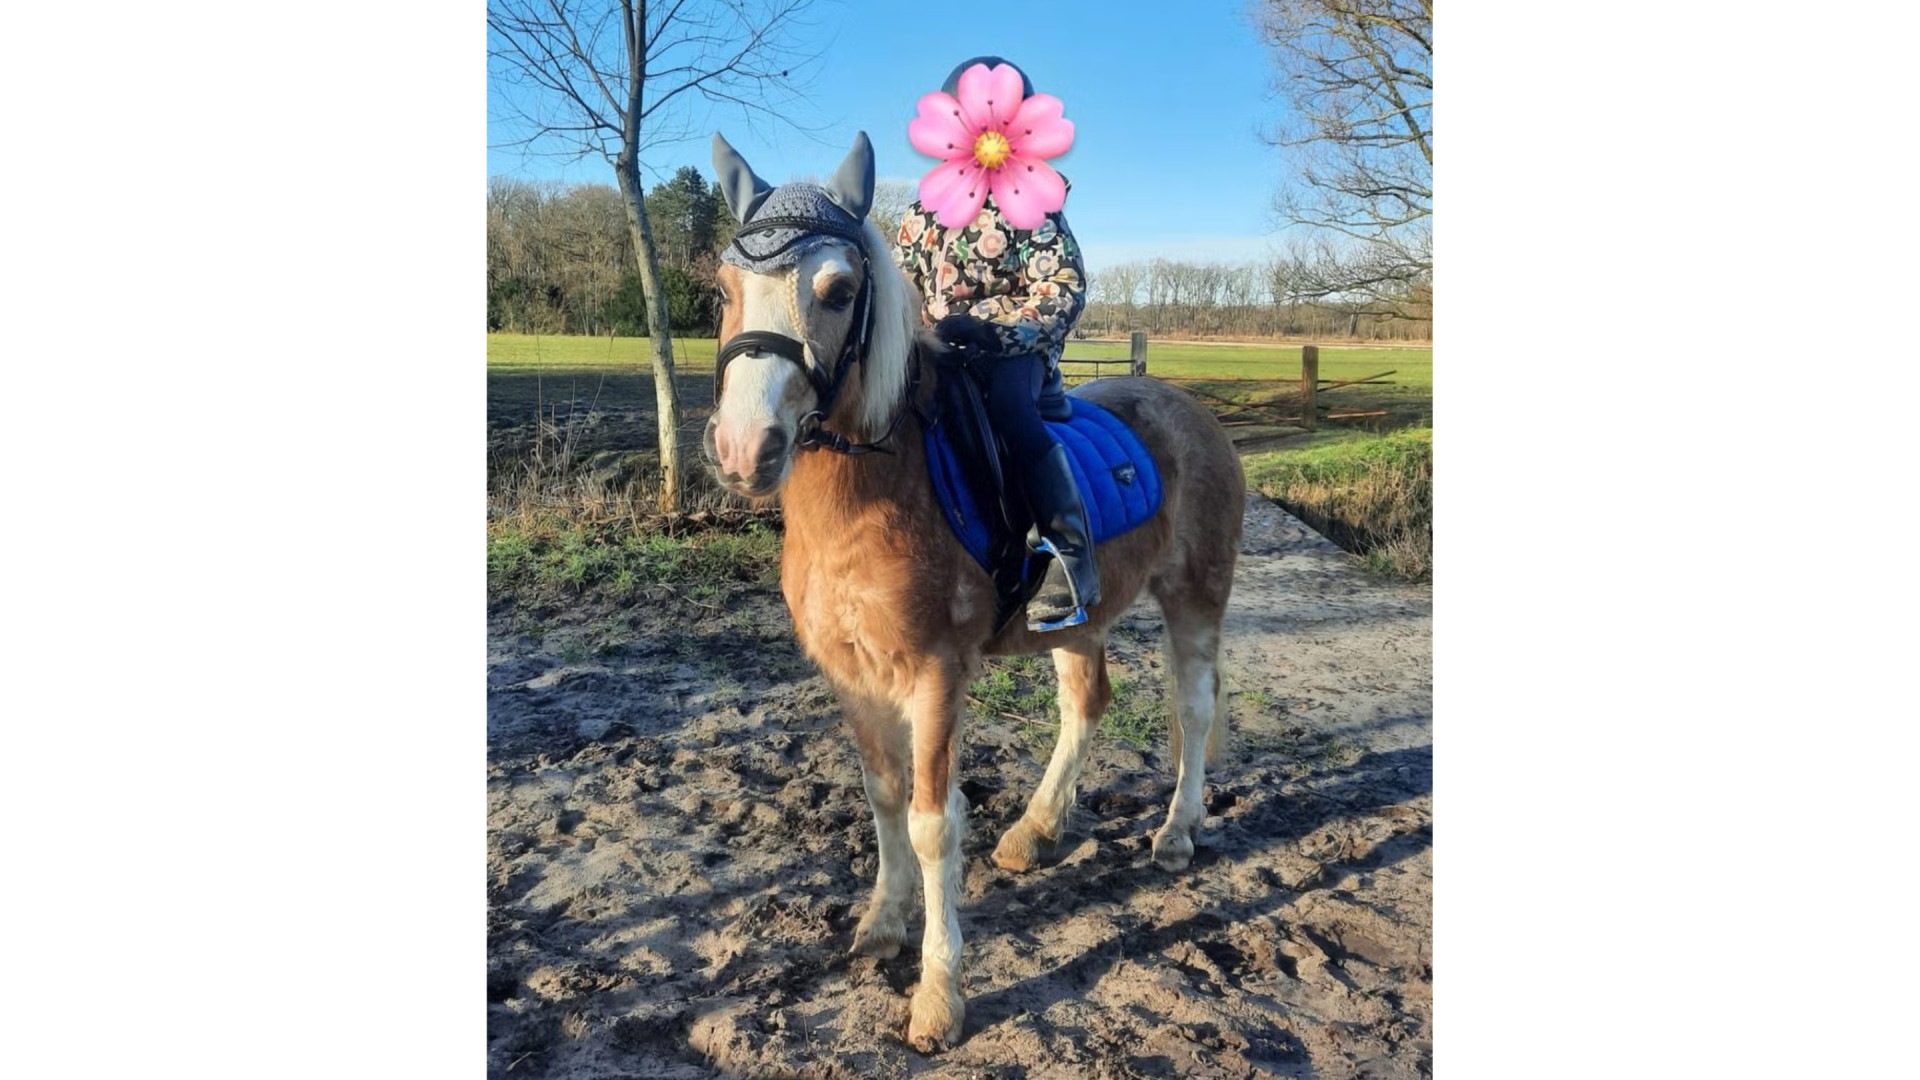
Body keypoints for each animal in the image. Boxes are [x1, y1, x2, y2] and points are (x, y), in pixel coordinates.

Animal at [701, 131, 1245, 1052]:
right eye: (724, 288)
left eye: (838, 290)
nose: (746, 450)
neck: (878, 488)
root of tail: (1190, 407)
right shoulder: (852, 675)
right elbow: (883, 799)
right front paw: (882, 927)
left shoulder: (934, 675)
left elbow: (930, 822)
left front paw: (938, 994)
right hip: (1077, 618)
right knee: (1086, 701)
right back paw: (1037, 828)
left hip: (1195, 598)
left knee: (1194, 707)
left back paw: (1178, 832)